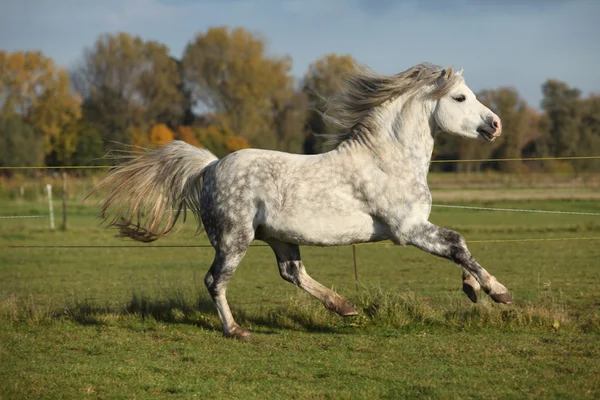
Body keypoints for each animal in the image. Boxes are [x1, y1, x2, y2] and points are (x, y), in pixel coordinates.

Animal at [96, 63, 512, 340]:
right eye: (460, 97)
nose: (495, 125)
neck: (388, 158)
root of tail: (211, 165)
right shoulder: (407, 230)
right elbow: (458, 243)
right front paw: (497, 292)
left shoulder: (417, 228)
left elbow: (458, 247)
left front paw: (473, 289)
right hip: (234, 240)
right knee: (215, 280)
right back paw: (236, 330)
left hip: (280, 237)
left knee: (291, 272)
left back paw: (344, 306)